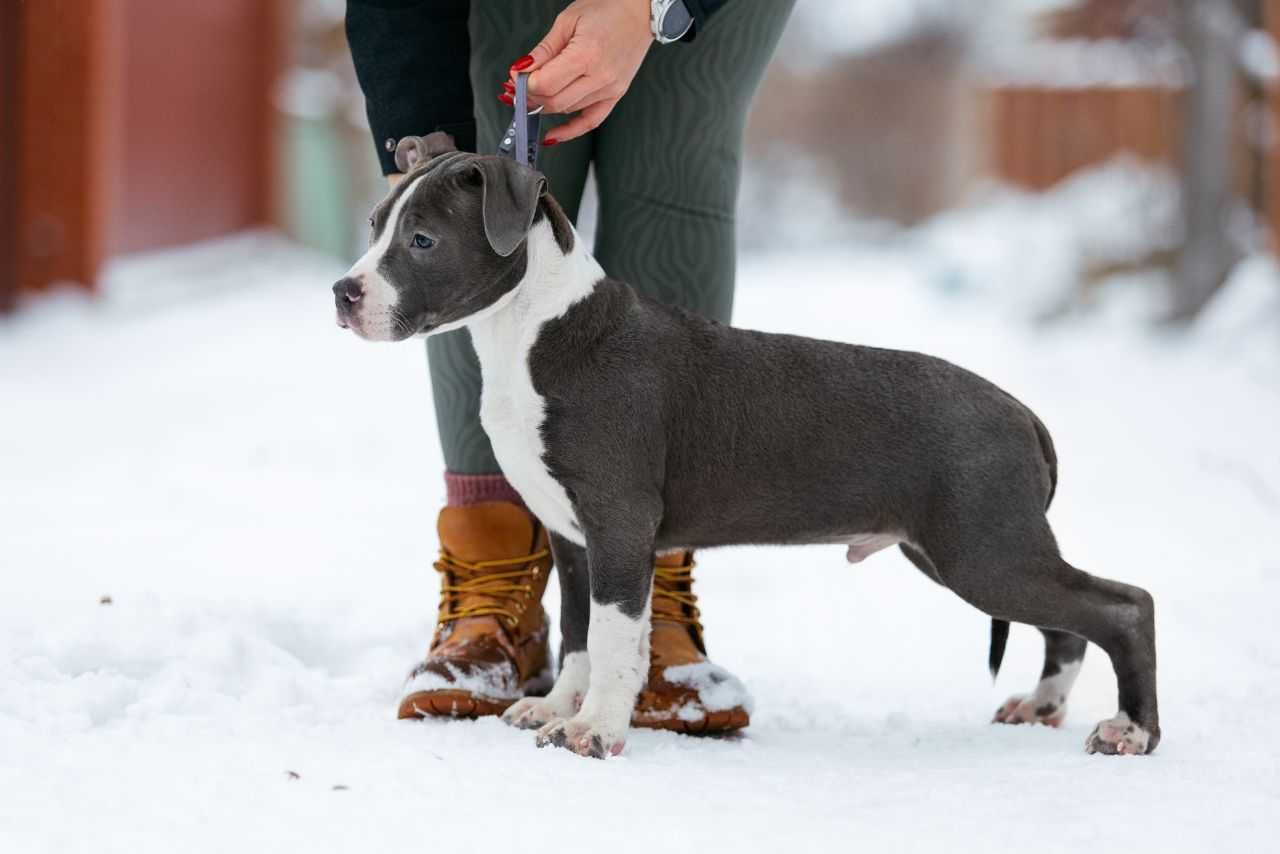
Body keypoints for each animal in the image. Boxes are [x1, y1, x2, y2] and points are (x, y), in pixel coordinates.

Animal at [332, 133, 1162, 763]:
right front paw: (557, 709)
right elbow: (577, 634)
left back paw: (1132, 731)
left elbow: (615, 637)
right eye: (375, 224)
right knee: (1069, 619)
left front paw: (595, 730)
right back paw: (1042, 705)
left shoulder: (618, 526)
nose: (344, 292)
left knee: (1124, 605)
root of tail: (1023, 414)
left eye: (423, 241)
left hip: (983, 548)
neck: (536, 330)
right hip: (971, 548)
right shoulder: (571, 536)